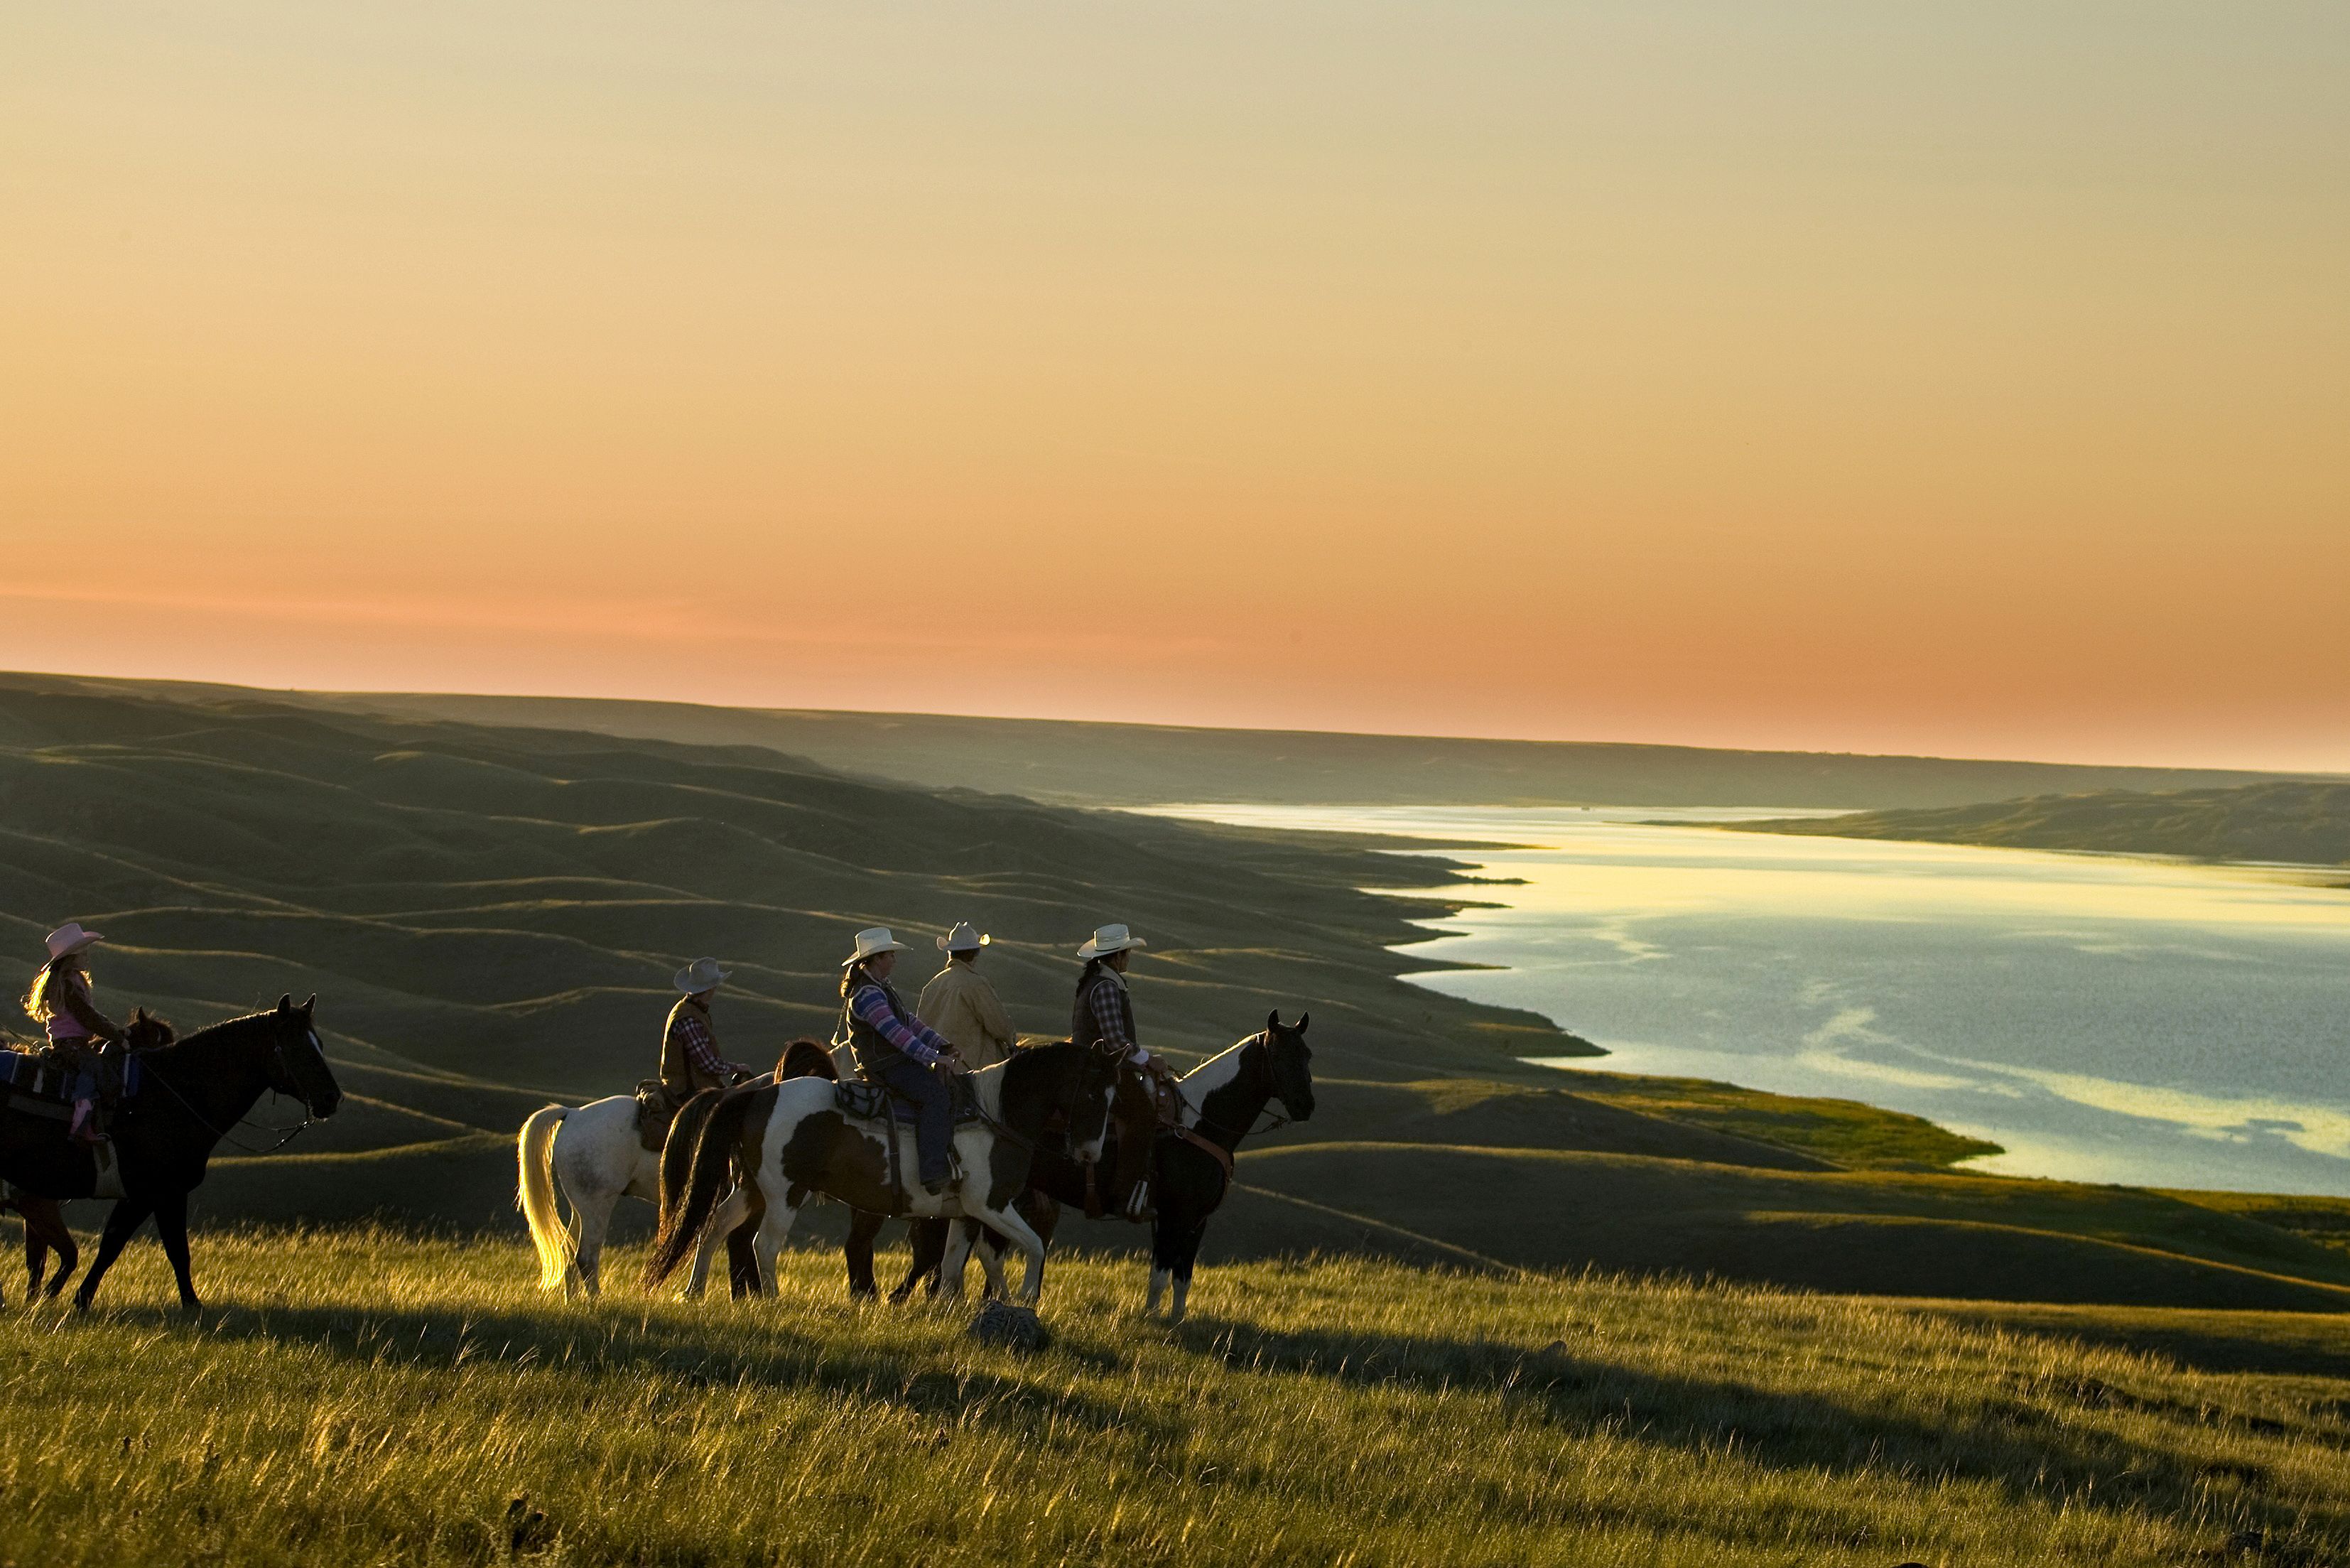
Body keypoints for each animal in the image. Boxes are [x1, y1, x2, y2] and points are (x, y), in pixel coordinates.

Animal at [644, 1044, 1118, 1316]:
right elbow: (1034, 1246)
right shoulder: (992, 1205)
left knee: (712, 1228)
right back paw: (771, 1301)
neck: (996, 1113)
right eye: (1093, 1092)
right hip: (784, 1193)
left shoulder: (967, 1213)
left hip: (750, 1189)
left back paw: (694, 1292)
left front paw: (955, 1309)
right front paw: (1027, 1297)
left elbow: (957, 1264)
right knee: (765, 1244)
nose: (1091, 1154)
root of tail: (757, 1094)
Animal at [935, 1010, 1316, 1316]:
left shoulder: (1196, 1220)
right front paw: (1151, 1320)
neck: (1200, 1126)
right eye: (1279, 1054)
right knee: (991, 1252)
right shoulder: (1175, 1216)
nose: (1306, 1106)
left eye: (1307, 1055)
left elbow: (1183, 1278)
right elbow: (1161, 1274)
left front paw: (1176, 1322)